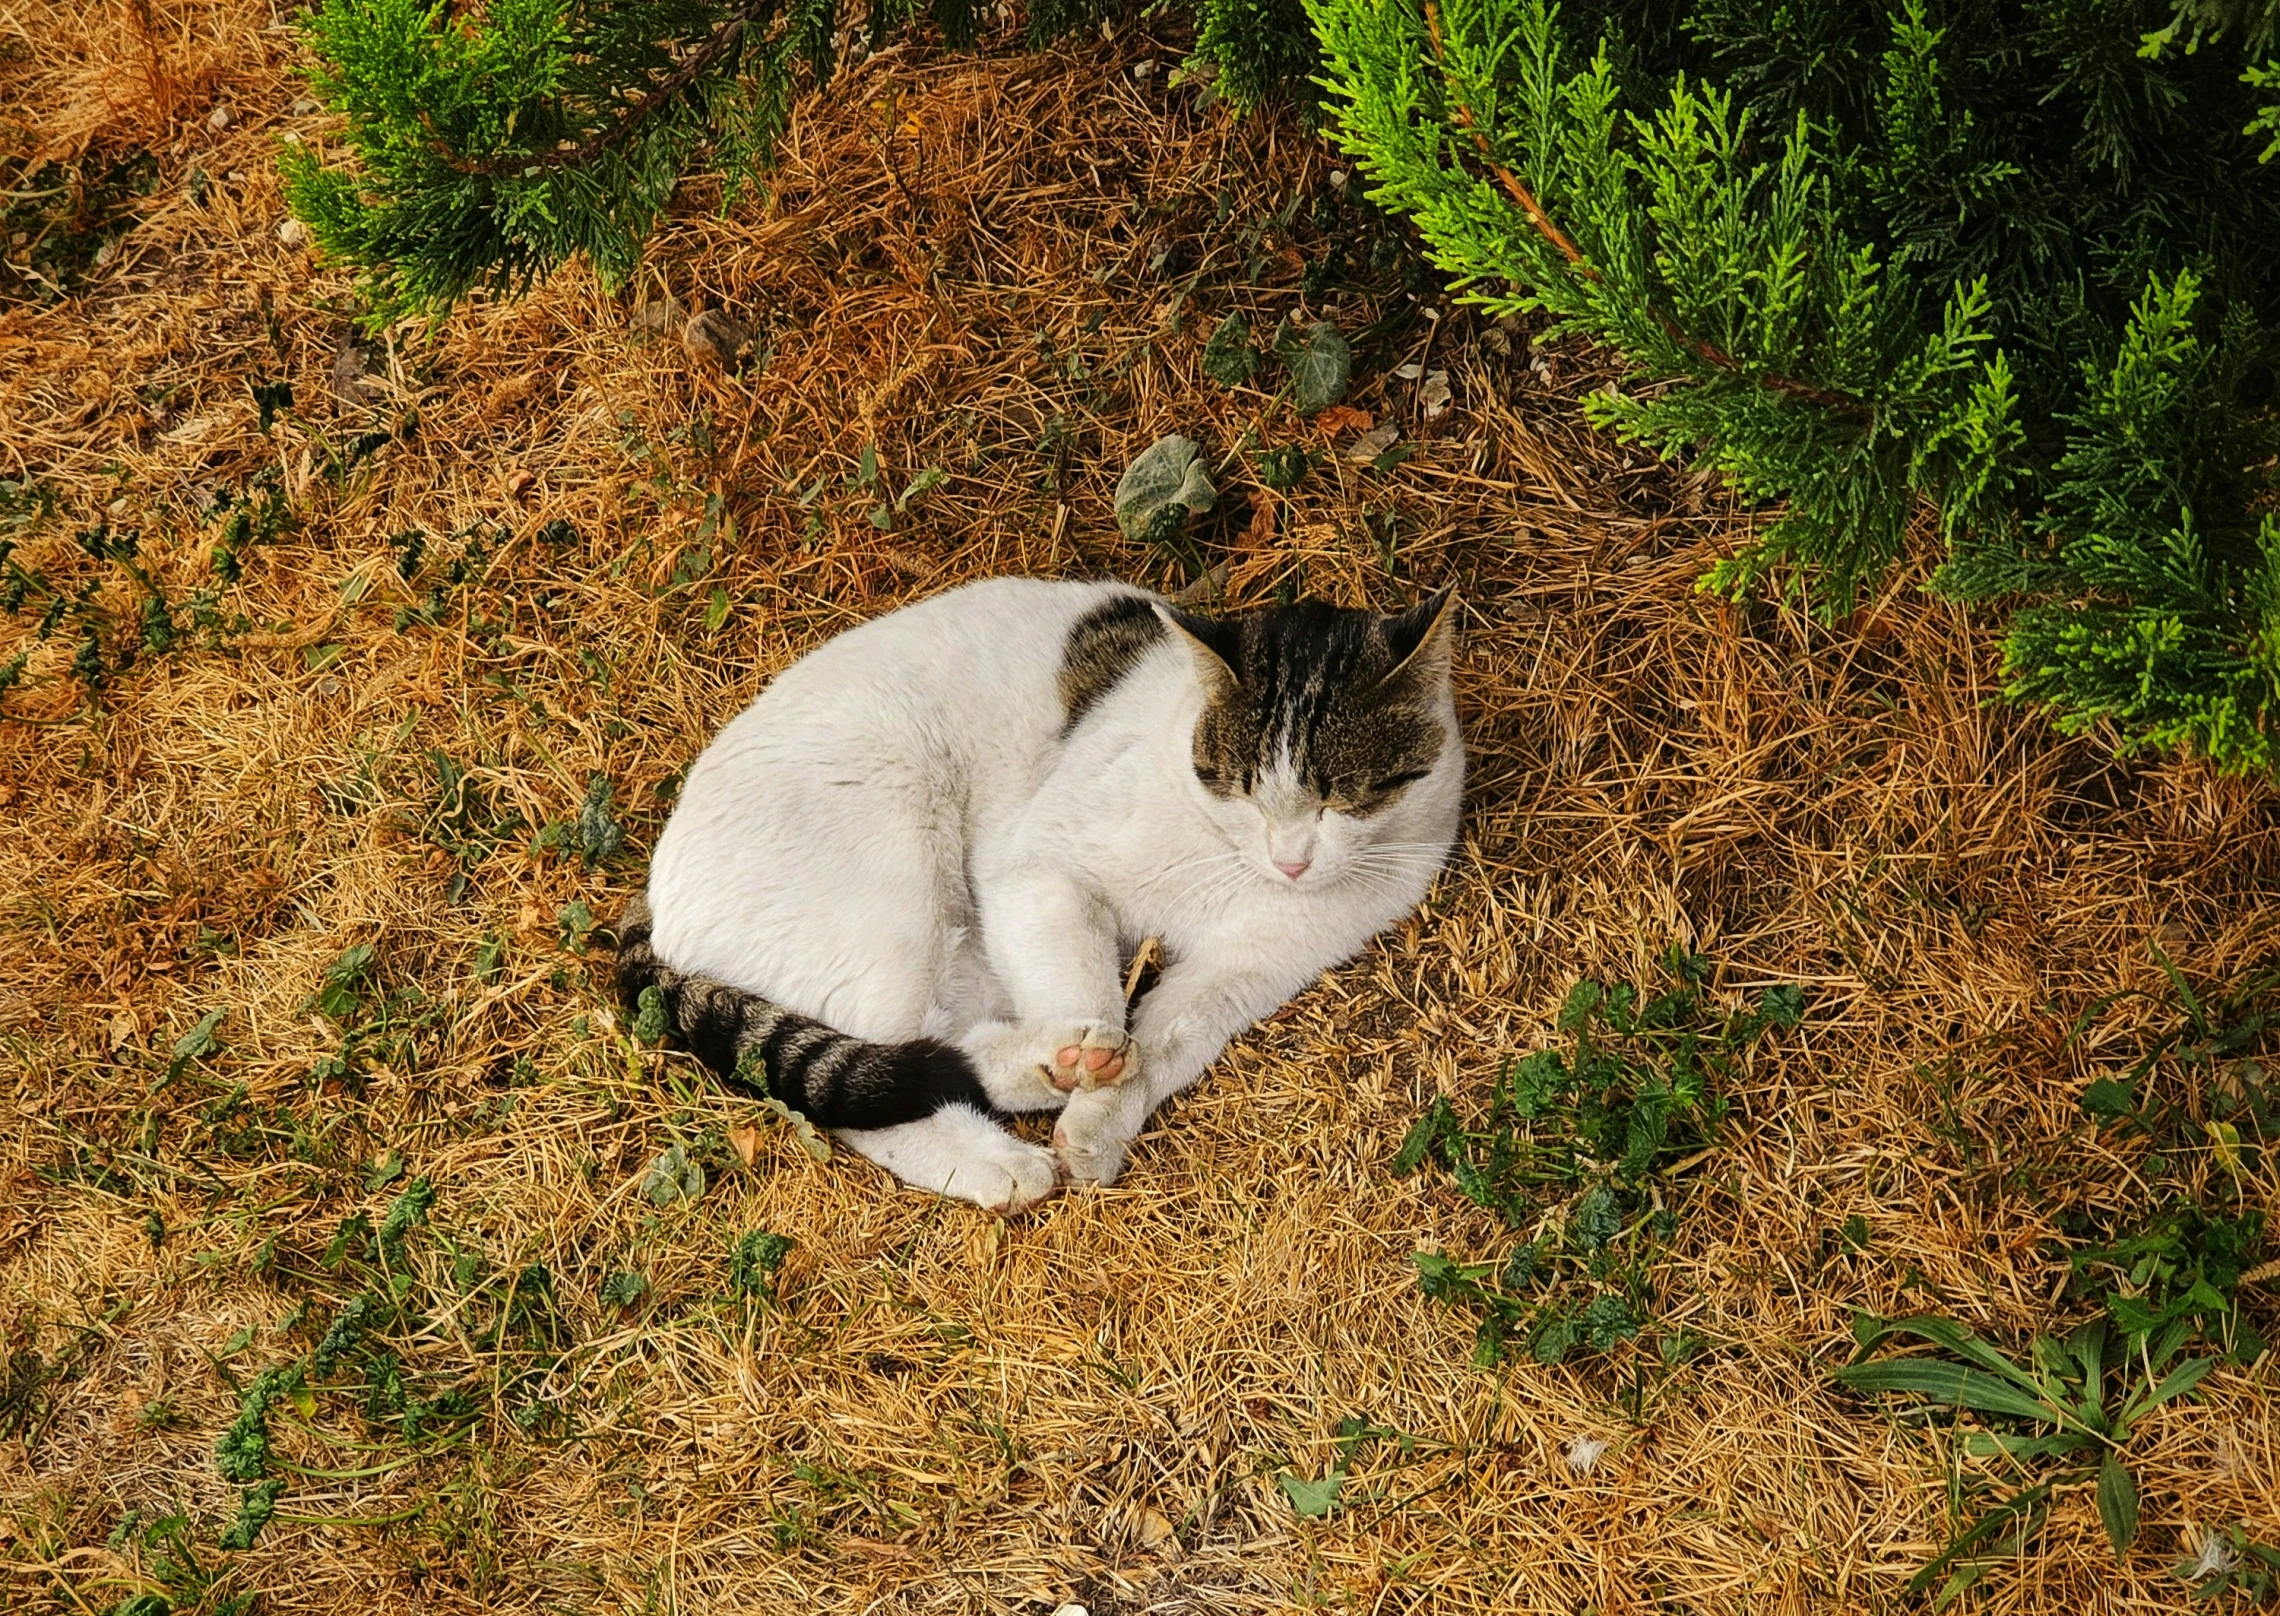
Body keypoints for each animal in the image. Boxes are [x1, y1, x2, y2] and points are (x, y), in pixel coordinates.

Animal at [611, 574, 1459, 1203]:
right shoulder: (1036, 870)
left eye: (1341, 800)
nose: (1291, 862)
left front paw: (1101, 1123)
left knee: (926, 1047)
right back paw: (1024, 1123)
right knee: (876, 1074)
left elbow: (1167, 1042)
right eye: (1245, 790)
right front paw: (1095, 1059)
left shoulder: (1249, 970)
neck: (1231, 864)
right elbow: (1088, 989)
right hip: (895, 882)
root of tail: (651, 905)